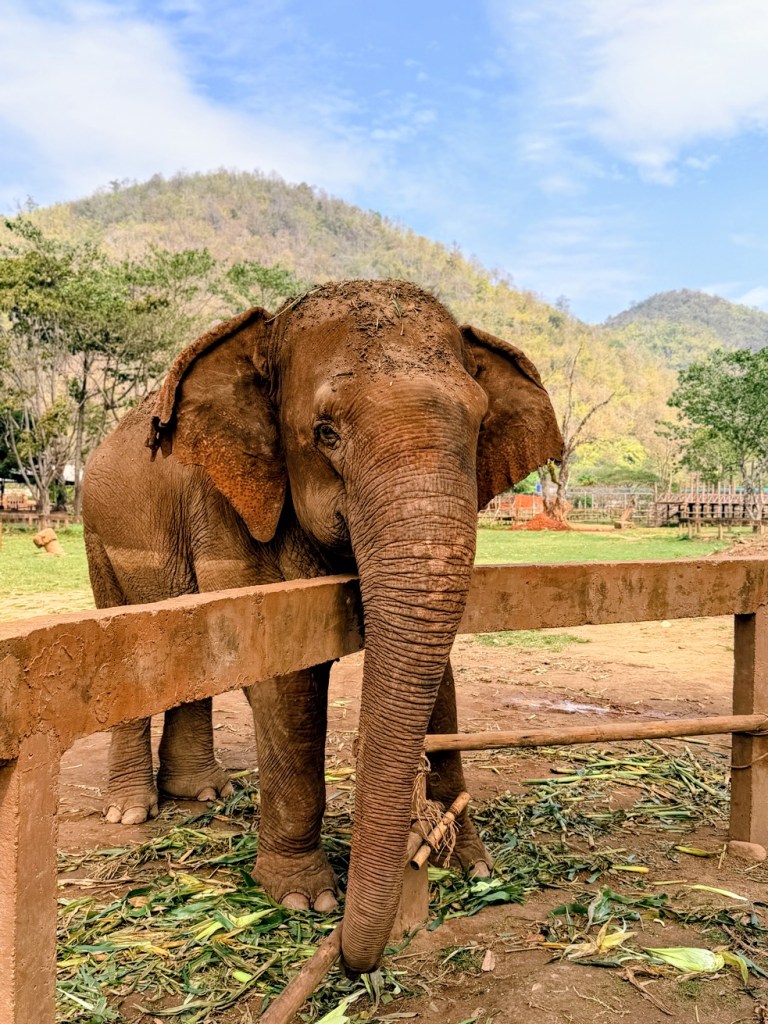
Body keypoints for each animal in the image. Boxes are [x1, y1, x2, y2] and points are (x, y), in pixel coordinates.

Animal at [82, 278, 563, 974]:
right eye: (326, 432)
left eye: (477, 428)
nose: (354, 956)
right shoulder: (229, 503)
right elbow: (286, 678)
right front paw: (303, 900)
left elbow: (438, 674)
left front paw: (473, 866)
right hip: (97, 537)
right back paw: (131, 812)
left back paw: (203, 795)